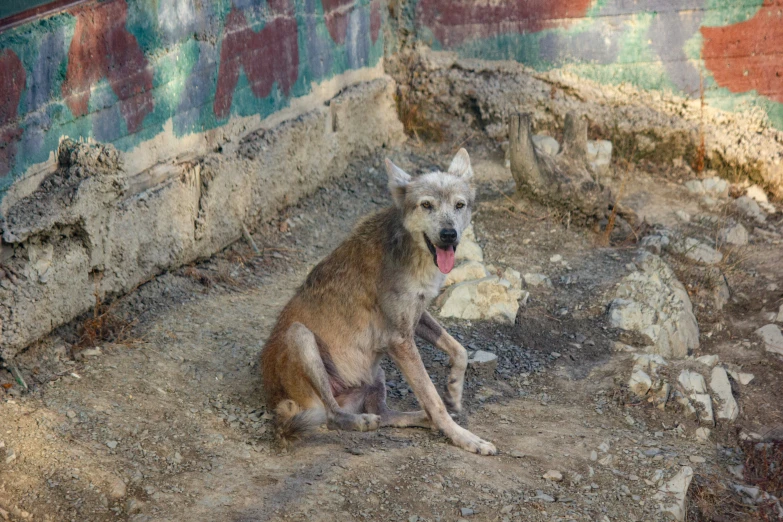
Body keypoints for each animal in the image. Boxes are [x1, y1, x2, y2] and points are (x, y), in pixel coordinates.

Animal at [262, 148, 496, 452]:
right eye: (426, 205)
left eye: (459, 205)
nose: (449, 235)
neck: (412, 252)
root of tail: (273, 399)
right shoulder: (399, 340)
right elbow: (433, 397)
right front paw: (464, 438)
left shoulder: (416, 316)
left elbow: (460, 351)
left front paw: (454, 391)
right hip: (301, 337)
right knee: (333, 417)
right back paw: (363, 421)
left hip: (377, 373)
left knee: (385, 414)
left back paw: (420, 418)